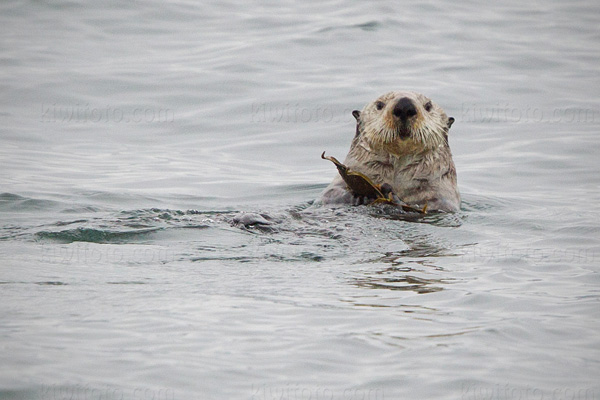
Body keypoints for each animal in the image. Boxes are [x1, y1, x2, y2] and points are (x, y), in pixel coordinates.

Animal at [318, 91, 460, 212]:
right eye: (379, 105)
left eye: (428, 106)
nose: (404, 106)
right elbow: (329, 194)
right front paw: (358, 195)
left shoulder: (444, 194)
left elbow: (438, 205)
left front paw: (393, 198)